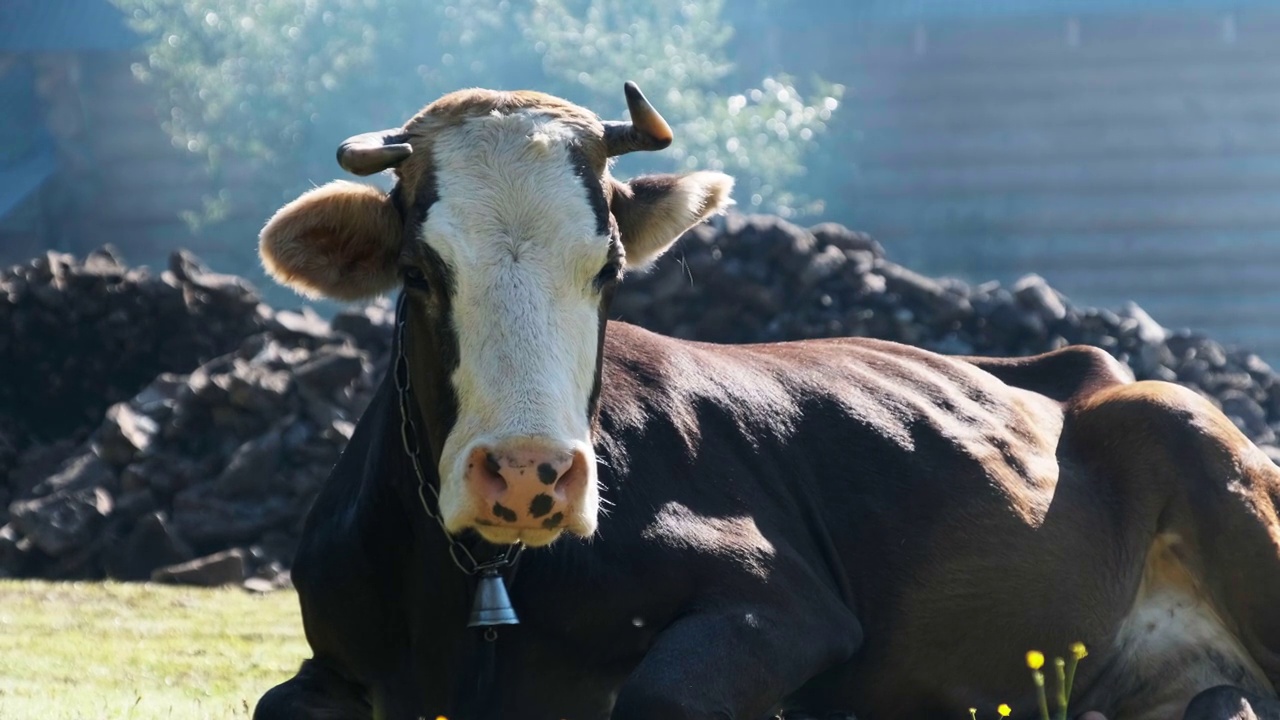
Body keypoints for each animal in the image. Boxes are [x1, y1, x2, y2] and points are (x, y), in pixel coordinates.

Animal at [249, 79, 1280, 717]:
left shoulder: (786, 604)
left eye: (608, 270)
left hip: (1207, 451)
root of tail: (1085, 367)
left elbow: (664, 693)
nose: (530, 473)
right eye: (419, 271)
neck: (477, 592)